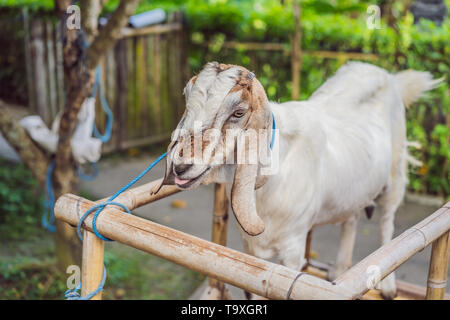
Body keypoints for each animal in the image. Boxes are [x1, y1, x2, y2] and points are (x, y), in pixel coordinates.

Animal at [154, 61, 440, 298]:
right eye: (187, 101)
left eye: (238, 112)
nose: (180, 166)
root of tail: (387, 76)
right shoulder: (250, 250)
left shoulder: (293, 249)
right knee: (351, 218)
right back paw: (339, 269)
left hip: (395, 174)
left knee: (386, 221)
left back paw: (389, 286)